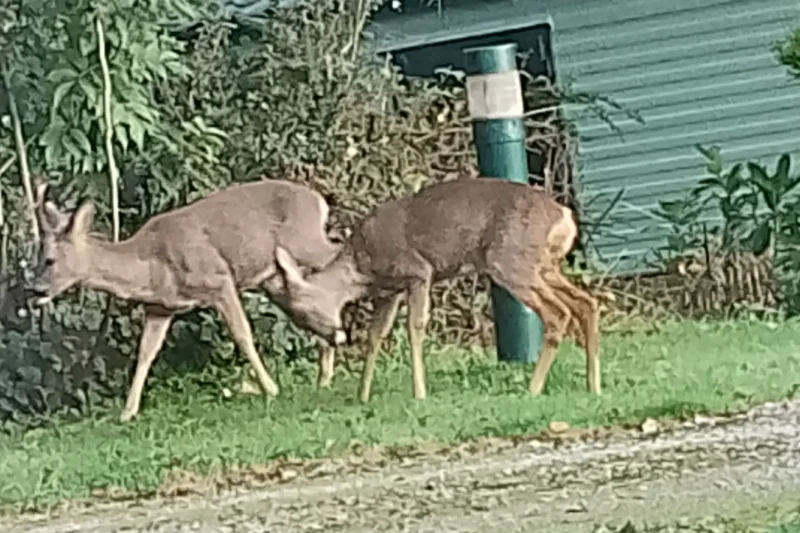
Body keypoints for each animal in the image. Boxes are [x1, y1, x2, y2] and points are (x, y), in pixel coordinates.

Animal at [30, 177, 346, 423]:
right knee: (309, 295)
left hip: (306, 244)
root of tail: (318, 200)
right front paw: (128, 412)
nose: (35, 290)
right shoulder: (160, 308)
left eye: (49, 259)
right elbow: (145, 353)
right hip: (276, 278)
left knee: (340, 249)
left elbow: (242, 334)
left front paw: (271, 389)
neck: (150, 266)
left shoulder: (219, 279)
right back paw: (325, 373)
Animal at [273, 176, 601, 403]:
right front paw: (362, 396)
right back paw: (592, 384)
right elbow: (375, 335)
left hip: (511, 262)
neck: (360, 264)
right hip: (543, 266)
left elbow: (415, 327)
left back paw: (533, 388)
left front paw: (419, 392)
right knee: (586, 302)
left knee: (558, 313)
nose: (333, 339)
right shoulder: (389, 292)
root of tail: (564, 217)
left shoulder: (418, 272)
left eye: (300, 311)